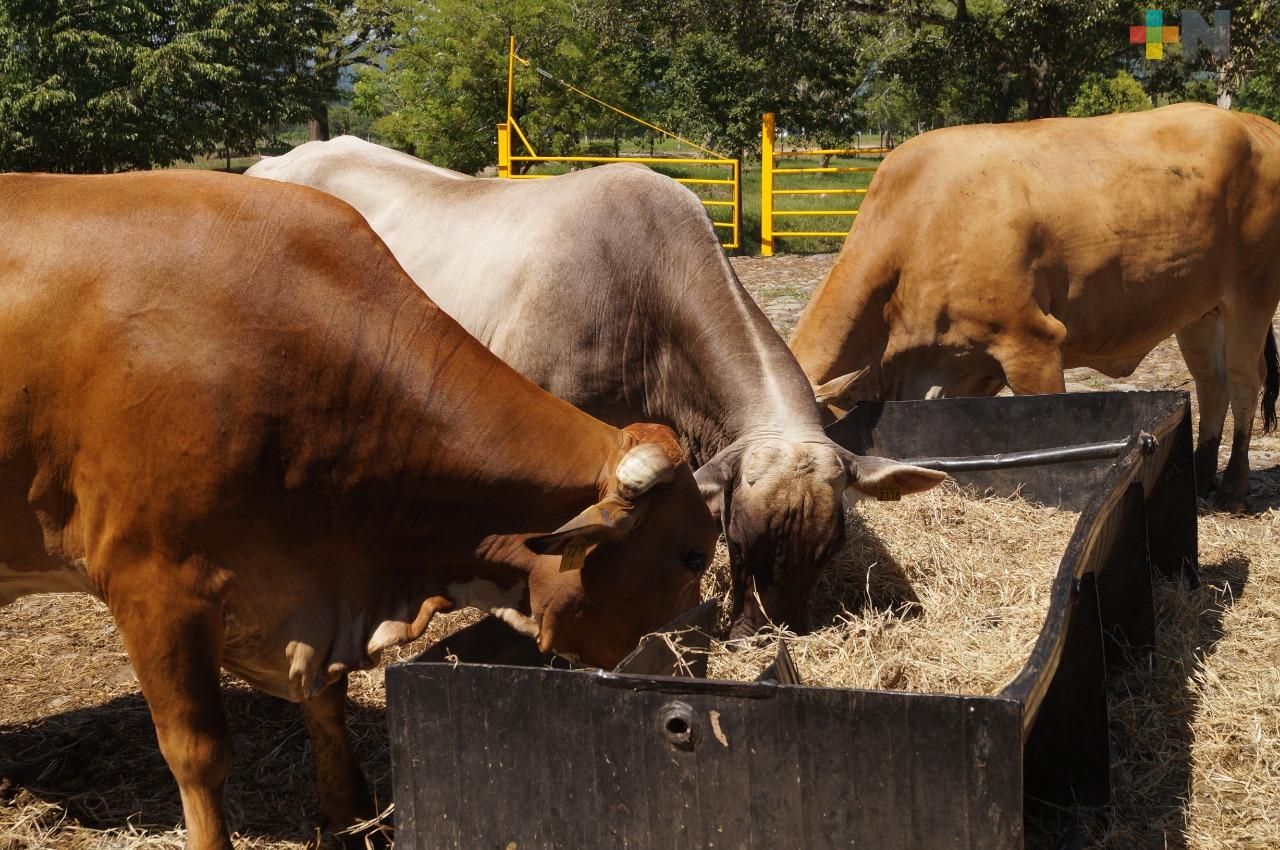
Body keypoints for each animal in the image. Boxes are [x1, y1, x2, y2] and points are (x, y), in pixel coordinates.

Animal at [0, 172, 716, 850]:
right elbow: (197, 753)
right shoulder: (155, 588)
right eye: (691, 556)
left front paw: (347, 814)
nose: (685, 660)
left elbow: (327, 704)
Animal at [788, 103, 1280, 506]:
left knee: (1244, 381)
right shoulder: (962, 368)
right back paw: (1201, 473)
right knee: (1212, 383)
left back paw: (1233, 487)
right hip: (1199, 312)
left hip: (1251, 296)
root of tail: (1253, 123)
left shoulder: (1031, 344)